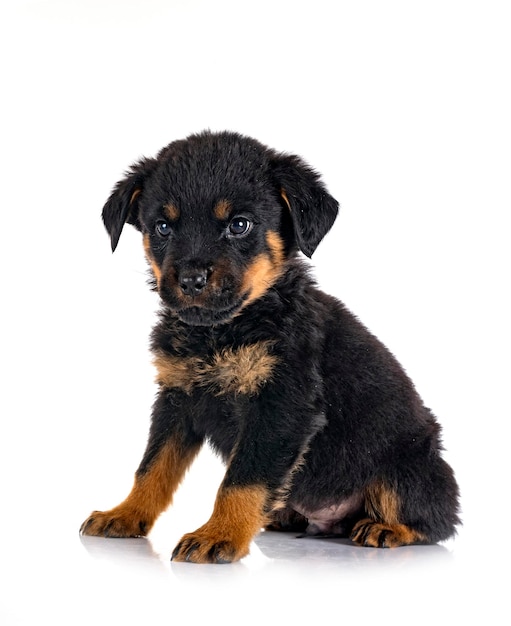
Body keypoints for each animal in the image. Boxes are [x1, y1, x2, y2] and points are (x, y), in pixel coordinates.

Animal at [80, 130, 460, 560]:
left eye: (239, 225)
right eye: (162, 227)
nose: (192, 279)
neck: (221, 332)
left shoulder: (281, 405)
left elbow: (242, 480)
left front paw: (220, 534)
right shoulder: (177, 399)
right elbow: (152, 467)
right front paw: (126, 514)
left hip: (408, 464)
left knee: (434, 519)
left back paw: (385, 528)